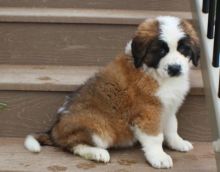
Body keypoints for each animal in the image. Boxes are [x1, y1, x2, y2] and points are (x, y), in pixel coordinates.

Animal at [24, 16, 199, 168]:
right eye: (160, 51)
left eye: (184, 49)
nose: (175, 68)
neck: (154, 72)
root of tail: (54, 130)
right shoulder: (149, 111)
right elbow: (155, 137)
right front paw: (159, 157)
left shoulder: (168, 107)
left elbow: (172, 126)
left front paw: (178, 143)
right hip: (99, 127)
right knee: (72, 145)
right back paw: (97, 153)